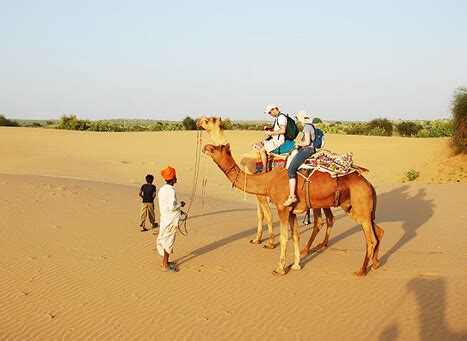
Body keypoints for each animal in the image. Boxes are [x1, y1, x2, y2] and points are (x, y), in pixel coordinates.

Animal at [197, 117, 336, 252]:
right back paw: (322, 245)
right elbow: (260, 214)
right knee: (330, 218)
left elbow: (267, 215)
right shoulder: (258, 191)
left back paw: (308, 249)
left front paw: (270, 243)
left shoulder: (261, 191)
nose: (198, 121)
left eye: (207, 120)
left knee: (320, 221)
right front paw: (256, 239)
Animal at [204, 142, 384, 274]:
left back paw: (361, 270)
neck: (268, 180)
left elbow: (284, 236)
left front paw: (280, 269)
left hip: (360, 205)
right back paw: (375, 264)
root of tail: (369, 185)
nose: (205, 147)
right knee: (378, 231)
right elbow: (296, 235)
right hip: (358, 208)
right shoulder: (292, 211)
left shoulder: (282, 208)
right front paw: (296, 264)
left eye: (215, 148)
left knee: (370, 238)